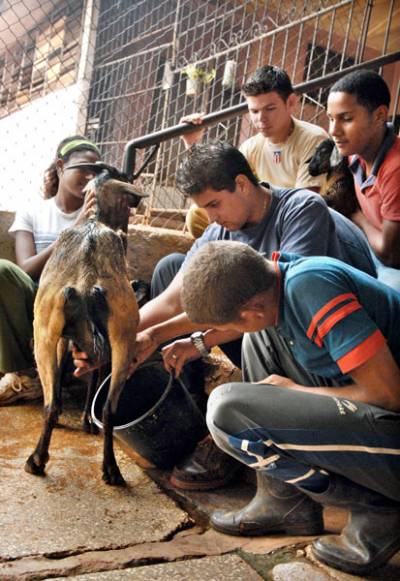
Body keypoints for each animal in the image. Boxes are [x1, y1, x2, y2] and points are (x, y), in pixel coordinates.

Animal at [24, 161, 145, 482]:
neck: (93, 221)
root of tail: (88, 280)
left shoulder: (63, 337)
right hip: (123, 339)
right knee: (109, 409)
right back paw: (111, 469)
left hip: (44, 336)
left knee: (50, 404)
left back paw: (36, 461)